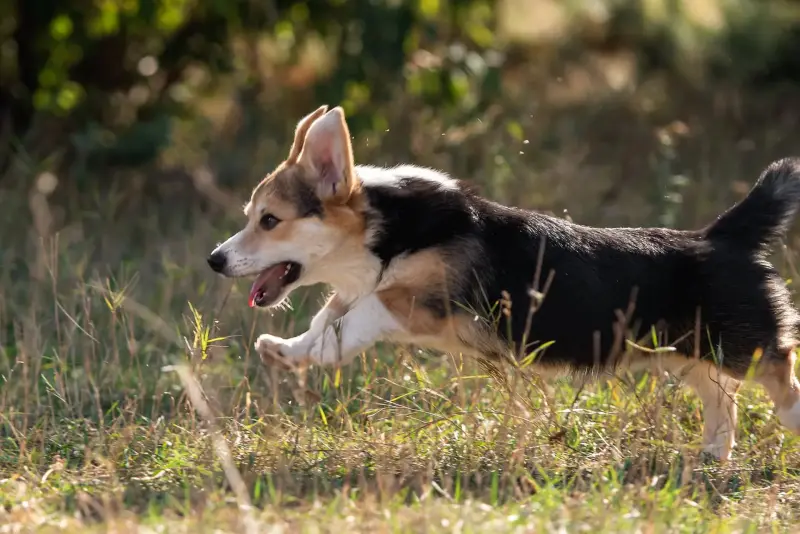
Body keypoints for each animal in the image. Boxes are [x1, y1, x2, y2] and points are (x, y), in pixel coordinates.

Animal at [208, 107, 800, 462]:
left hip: (742, 346)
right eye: (251, 217)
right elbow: (322, 323)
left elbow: (352, 322)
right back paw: (712, 458)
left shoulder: (411, 300)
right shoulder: (358, 293)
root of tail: (721, 237)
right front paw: (285, 351)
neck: (384, 232)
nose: (215, 260)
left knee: (780, 369)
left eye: (269, 221)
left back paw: (790, 419)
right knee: (722, 402)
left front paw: (308, 351)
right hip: (690, 354)